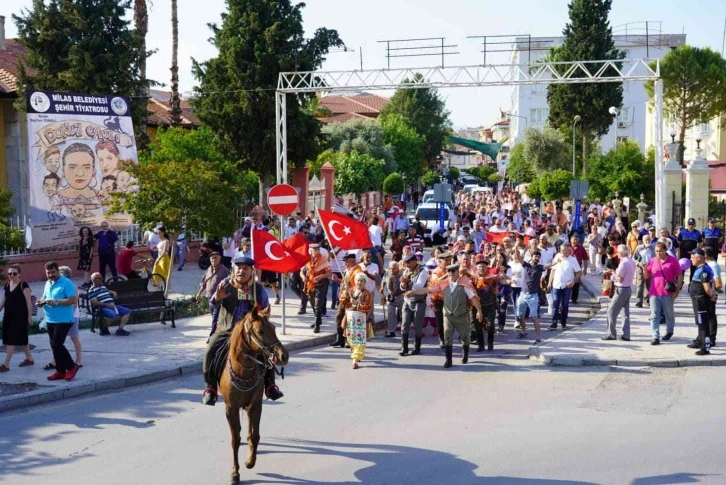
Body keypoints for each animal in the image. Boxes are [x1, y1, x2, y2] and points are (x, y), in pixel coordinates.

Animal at [219, 306, 290, 480]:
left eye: (274, 328)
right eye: (260, 331)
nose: (283, 356)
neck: (243, 372)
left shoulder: (256, 404)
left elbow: (255, 435)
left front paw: (250, 461)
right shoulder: (231, 408)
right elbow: (235, 440)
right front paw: (235, 472)